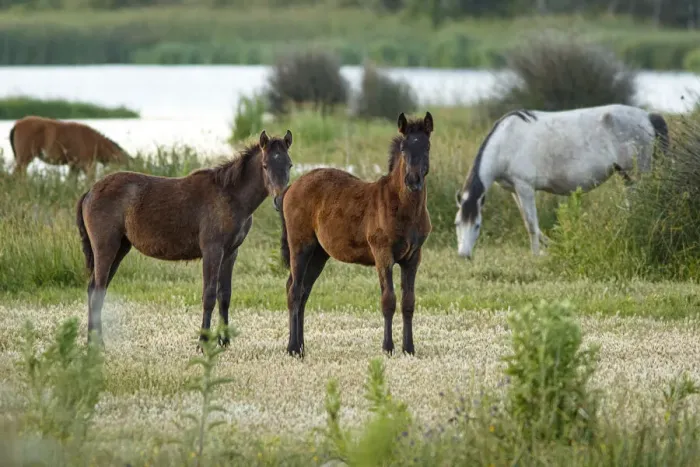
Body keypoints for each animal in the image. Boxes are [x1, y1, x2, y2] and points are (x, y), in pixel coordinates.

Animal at [76, 130, 293, 346]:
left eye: (289, 164)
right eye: (265, 165)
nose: (280, 199)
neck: (230, 196)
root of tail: (89, 192)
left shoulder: (231, 252)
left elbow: (225, 296)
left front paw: (224, 341)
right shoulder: (212, 250)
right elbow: (209, 295)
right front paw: (203, 342)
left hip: (120, 248)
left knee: (94, 288)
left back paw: (92, 341)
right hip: (106, 248)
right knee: (97, 291)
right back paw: (98, 344)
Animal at [278, 112, 433, 358]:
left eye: (427, 146)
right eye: (404, 148)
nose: (413, 180)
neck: (401, 206)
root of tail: (291, 188)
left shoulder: (413, 258)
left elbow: (409, 302)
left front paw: (409, 349)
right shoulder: (383, 254)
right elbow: (388, 300)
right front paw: (387, 348)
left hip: (319, 254)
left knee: (302, 291)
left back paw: (300, 347)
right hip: (300, 246)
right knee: (294, 290)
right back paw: (293, 349)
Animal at [454, 104, 669, 259]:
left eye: (477, 225)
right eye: (457, 224)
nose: (464, 255)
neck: (507, 142)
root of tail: (648, 117)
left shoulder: (525, 187)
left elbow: (531, 224)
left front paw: (536, 255)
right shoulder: (515, 190)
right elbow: (529, 222)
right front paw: (550, 246)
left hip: (639, 175)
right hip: (628, 177)